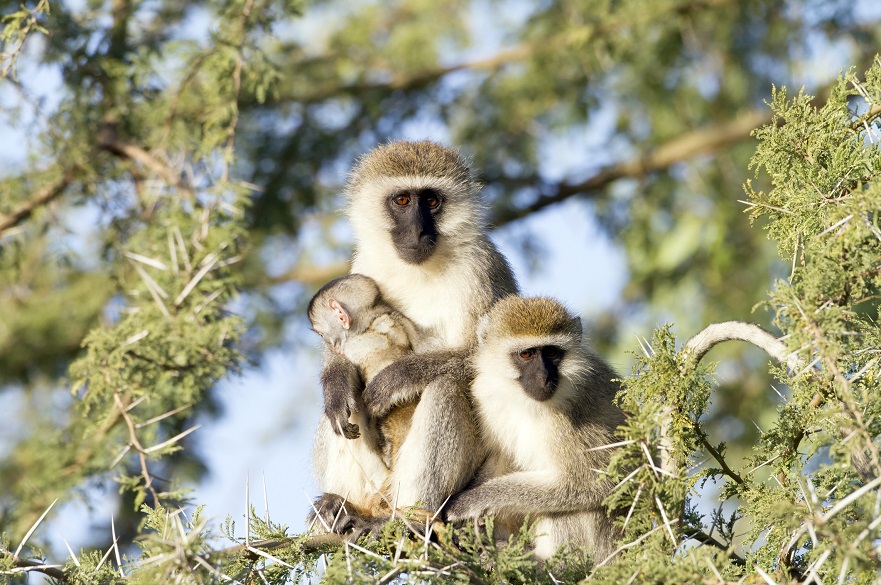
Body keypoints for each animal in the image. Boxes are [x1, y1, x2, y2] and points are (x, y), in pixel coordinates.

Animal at [312, 139, 520, 532]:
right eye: (403, 200)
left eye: (432, 201)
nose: (419, 233)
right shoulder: (365, 264)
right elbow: (343, 364)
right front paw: (336, 379)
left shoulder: (479, 268)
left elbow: (483, 358)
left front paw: (396, 378)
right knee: (338, 416)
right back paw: (344, 507)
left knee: (447, 387)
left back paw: (409, 519)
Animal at [446, 296, 624, 560]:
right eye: (526, 354)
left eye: (551, 352)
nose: (543, 378)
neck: (524, 401)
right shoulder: (487, 398)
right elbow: (500, 458)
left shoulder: (567, 422)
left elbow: (596, 482)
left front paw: (469, 502)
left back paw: (551, 563)